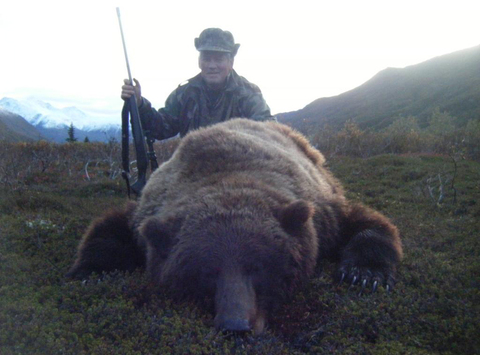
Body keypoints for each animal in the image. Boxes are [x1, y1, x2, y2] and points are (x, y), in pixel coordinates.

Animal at [67, 118, 404, 336]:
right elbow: (110, 229)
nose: (236, 327)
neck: (229, 174)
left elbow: (367, 223)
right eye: (207, 272)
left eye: (258, 267)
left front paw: (364, 274)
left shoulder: (324, 213)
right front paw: (91, 272)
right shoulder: (144, 215)